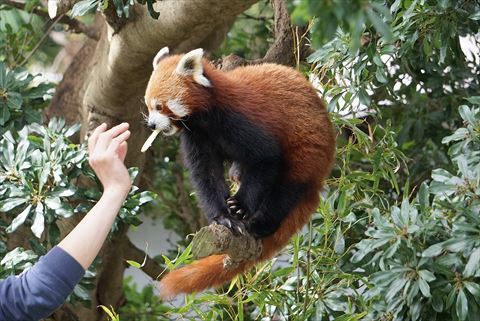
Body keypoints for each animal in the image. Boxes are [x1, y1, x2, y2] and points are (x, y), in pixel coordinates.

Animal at [142, 47, 336, 298]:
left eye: (159, 106)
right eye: (148, 105)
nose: (151, 125)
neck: (204, 119)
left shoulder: (241, 120)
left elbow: (266, 158)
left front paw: (240, 207)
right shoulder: (197, 137)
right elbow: (206, 175)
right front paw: (224, 217)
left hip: (308, 149)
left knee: (286, 188)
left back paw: (261, 224)